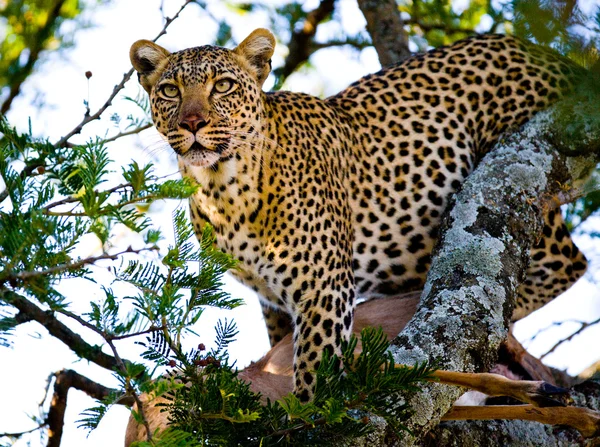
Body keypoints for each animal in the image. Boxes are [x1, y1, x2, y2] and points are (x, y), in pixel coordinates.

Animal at [130, 29, 584, 404]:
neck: (223, 191)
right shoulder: (273, 301)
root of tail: (551, 55)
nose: (192, 122)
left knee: (559, 271)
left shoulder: (323, 287)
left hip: (521, 182)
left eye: (222, 86)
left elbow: (315, 369)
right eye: (169, 90)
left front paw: (311, 418)